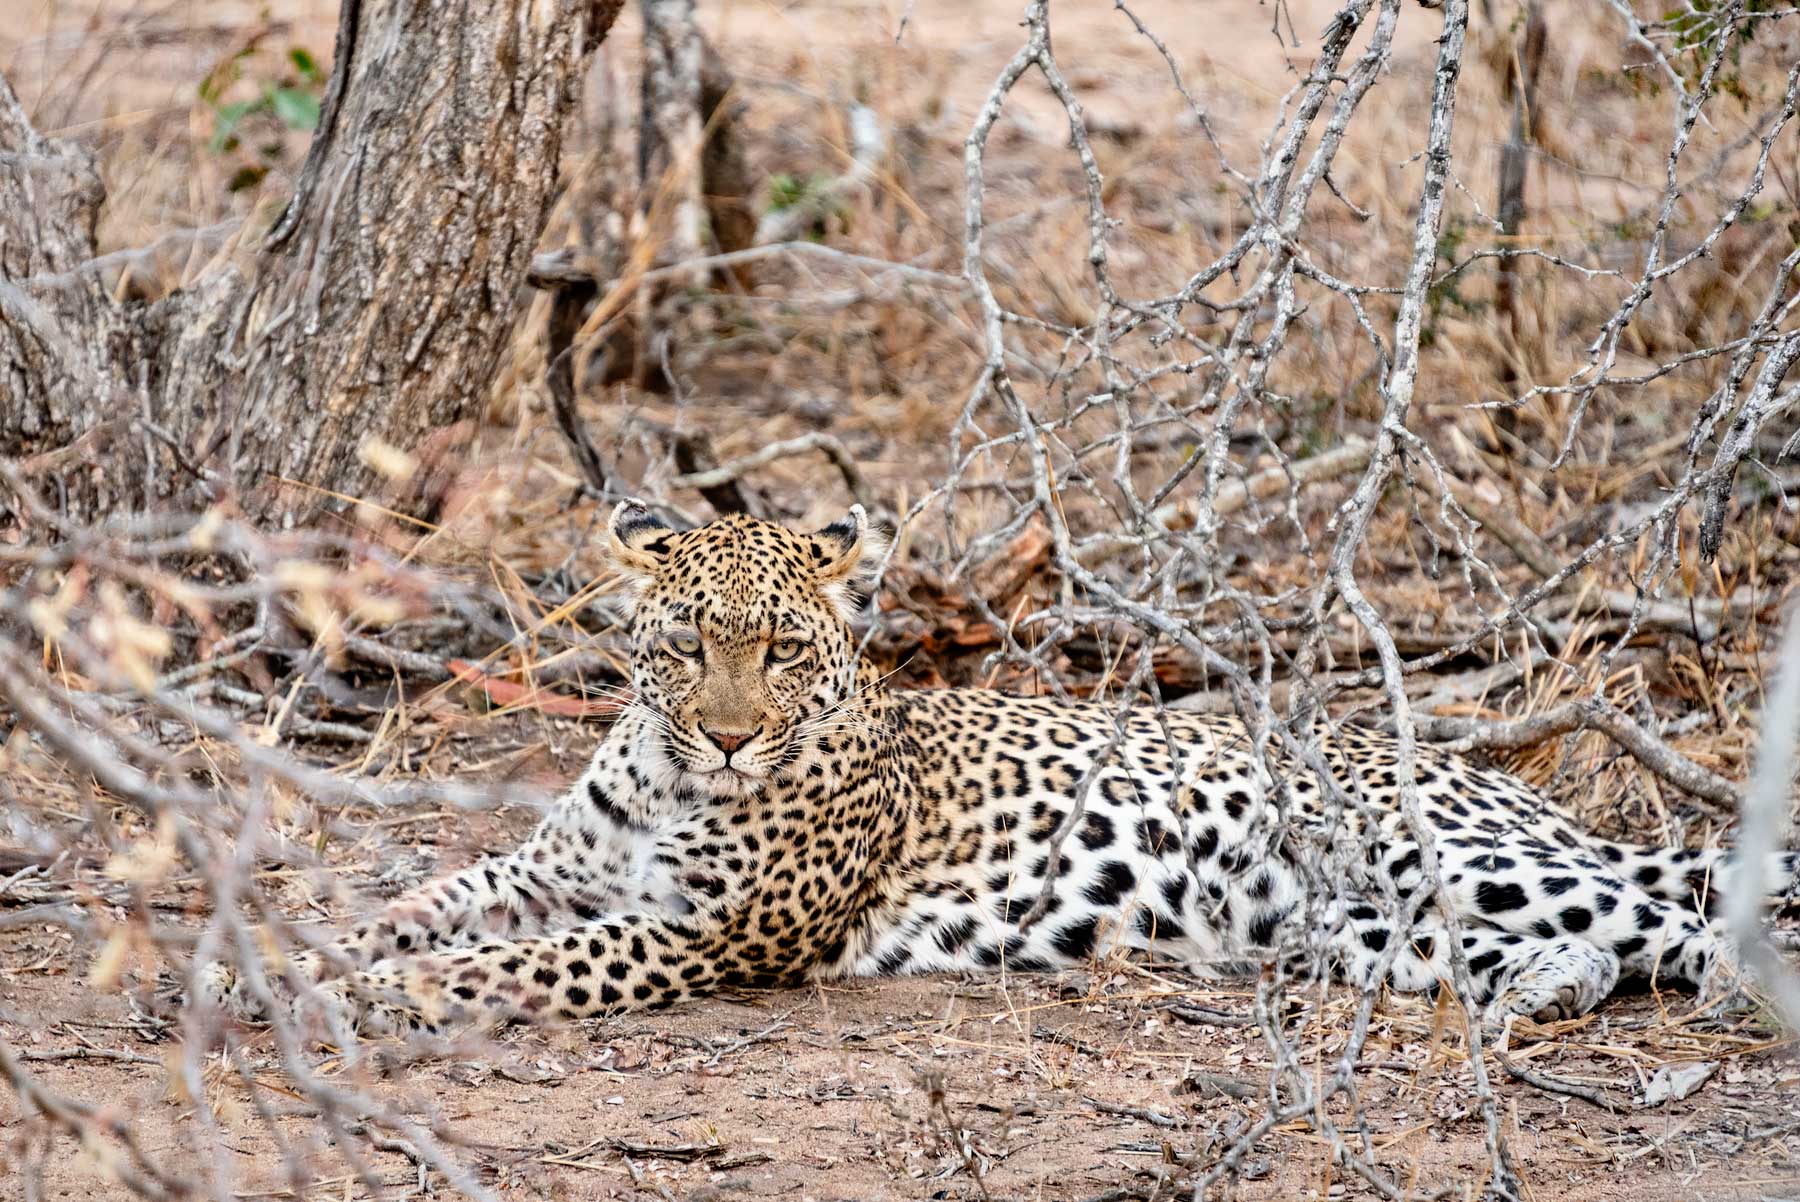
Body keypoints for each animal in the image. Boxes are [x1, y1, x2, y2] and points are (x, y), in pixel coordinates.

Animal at [201, 503, 1800, 1035]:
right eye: (687, 641)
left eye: (784, 648)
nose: (727, 731)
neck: (667, 776)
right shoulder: (553, 870)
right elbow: (428, 903)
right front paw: (280, 959)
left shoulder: (703, 935)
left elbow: (506, 964)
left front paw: (371, 996)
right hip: (1354, 926)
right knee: (1581, 946)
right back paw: (1549, 994)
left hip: (1443, 849)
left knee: (1670, 900)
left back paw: (1721, 984)